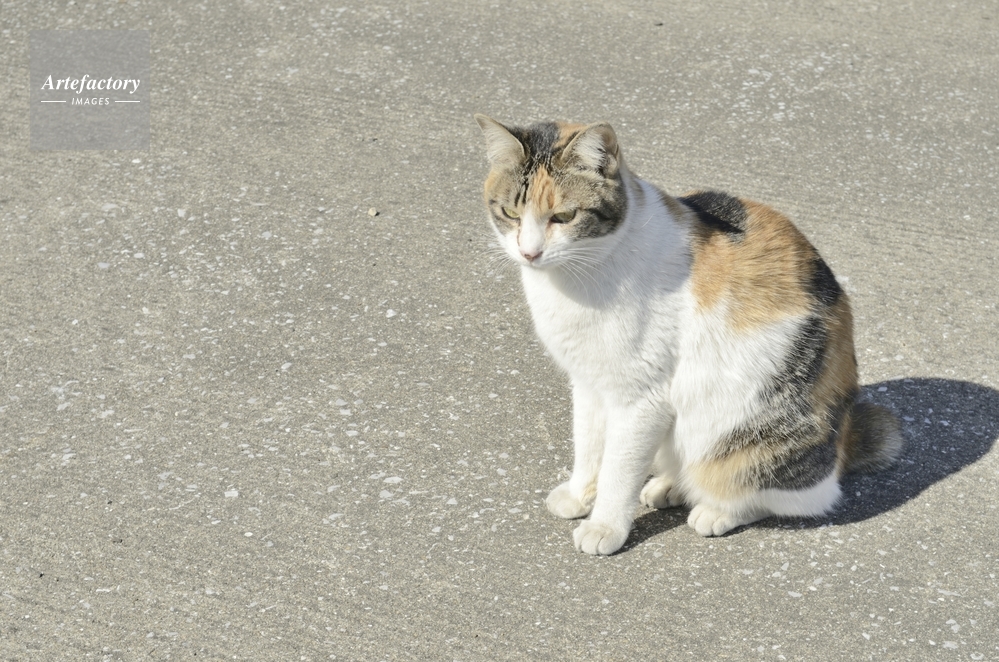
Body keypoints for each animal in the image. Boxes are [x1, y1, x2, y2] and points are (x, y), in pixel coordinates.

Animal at [474, 114, 903, 555]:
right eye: (510, 212)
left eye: (564, 216)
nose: (530, 253)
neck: (574, 280)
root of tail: (845, 439)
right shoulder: (589, 382)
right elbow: (589, 447)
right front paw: (580, 496)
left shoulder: (641, 398)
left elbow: (618, 470)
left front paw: (605, 526)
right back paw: (669, 486)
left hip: (745, 442)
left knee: (786, 497)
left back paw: (715, 511)